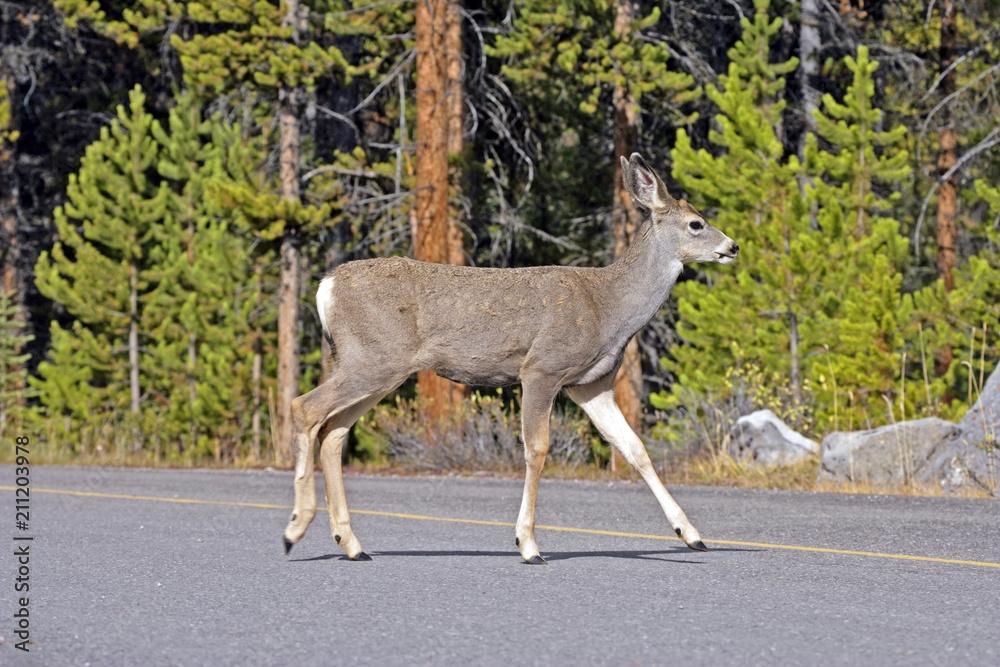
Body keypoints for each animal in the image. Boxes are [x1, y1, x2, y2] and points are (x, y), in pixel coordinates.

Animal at [282, 153, 739, 564]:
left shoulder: (591, 385)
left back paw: (351, 543)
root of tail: (325, 286)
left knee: (334, 431)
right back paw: (295, 529)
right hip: (373, 359)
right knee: (304, 408)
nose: (732, 246)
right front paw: (528, 544)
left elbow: (635, 447)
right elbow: (537, 449)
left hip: (377, 366)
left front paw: (691, 534)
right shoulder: (542, 368)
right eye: (696, 224)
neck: (608, 307)